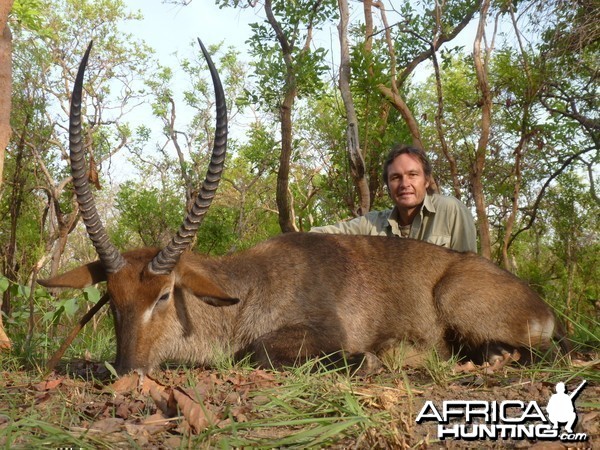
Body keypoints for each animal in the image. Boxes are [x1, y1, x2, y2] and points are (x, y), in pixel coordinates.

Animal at [41, 40, 568, 374]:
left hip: (455, 296)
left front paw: (370, 359)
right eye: (112, 298)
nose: (127, 371)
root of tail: (542, 305)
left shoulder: (323, 331)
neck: (249, 289)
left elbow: (257, 353)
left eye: (165, 295)